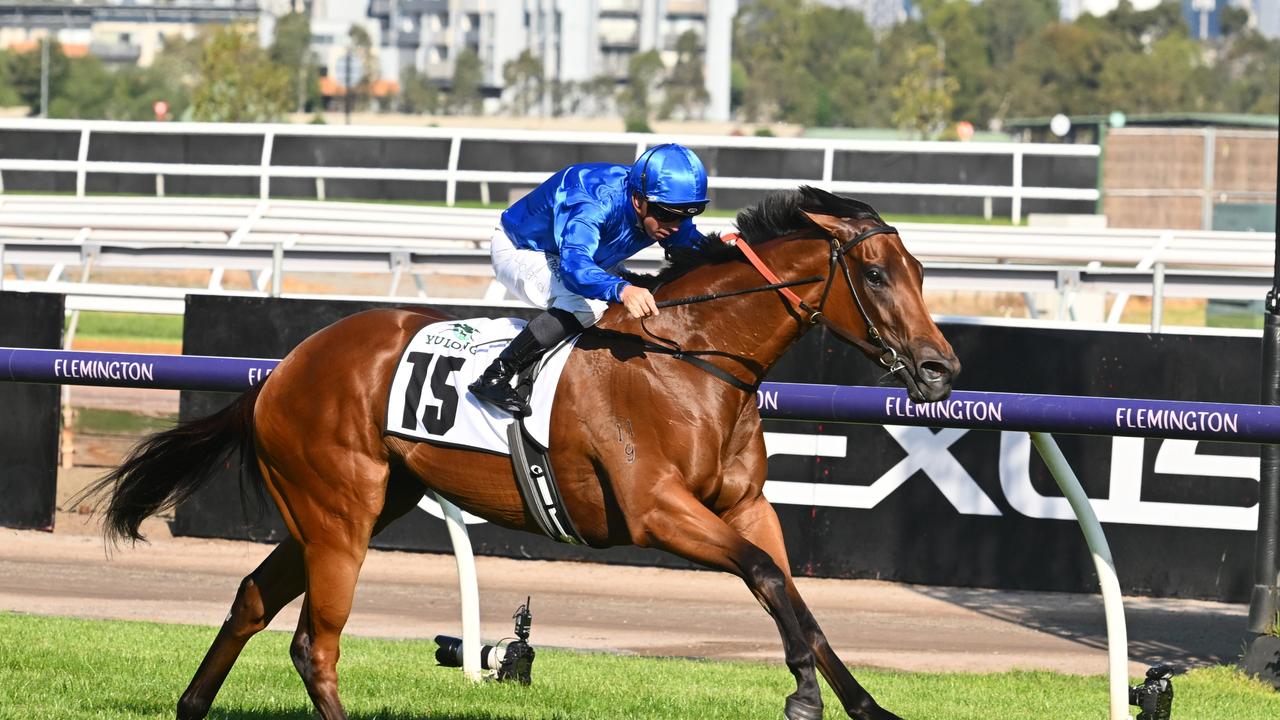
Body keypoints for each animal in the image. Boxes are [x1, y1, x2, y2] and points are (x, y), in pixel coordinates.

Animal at [80, 184, 962, 717]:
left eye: (920, 269)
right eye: (876, 274)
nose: (939, 368)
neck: (690, 357)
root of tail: (279, 372)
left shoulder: (745, 506)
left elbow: (792, 594)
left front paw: (859, 703)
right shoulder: (656, 511)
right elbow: (767, 577)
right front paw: (807, 697)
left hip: (344, 510)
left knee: (252, 603)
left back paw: (193, 704)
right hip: (338, 515)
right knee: (313, 644)